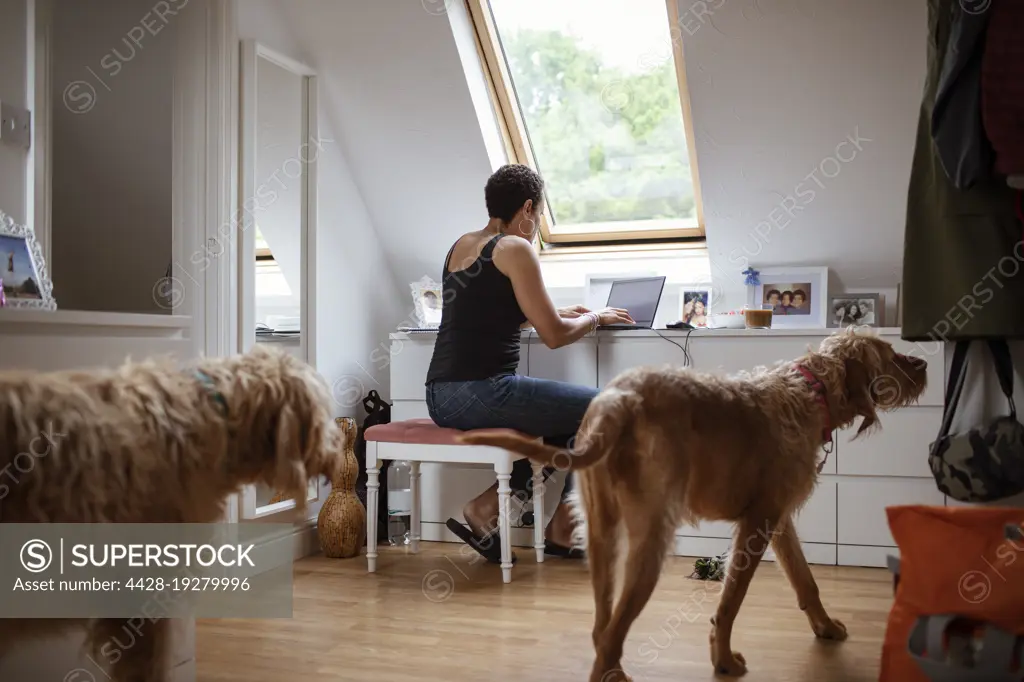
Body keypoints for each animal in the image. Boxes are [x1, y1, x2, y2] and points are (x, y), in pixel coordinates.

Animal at [462, 327, 929, 675]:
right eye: (890, 353)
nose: (924, 363)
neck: (808, 390)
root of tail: (620, 400)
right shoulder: (756, 526)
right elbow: (730, 602)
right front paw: (722, 660)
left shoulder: (779, 520)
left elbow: (805, 580)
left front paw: (825, 626)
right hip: (650, 543)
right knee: (611, 635)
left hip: (603, 539)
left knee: (601, 629)